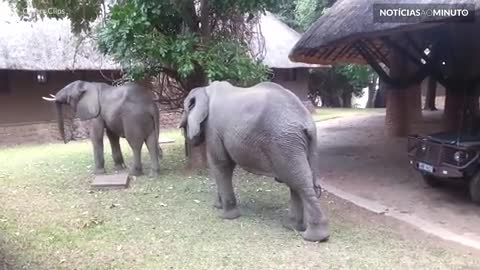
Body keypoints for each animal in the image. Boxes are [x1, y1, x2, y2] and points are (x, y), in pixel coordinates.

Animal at [179, 80, 330, 243]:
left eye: (185, 109)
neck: (206, 90)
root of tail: (307, 122)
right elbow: (226, 166)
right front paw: (218, 206)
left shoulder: (213, 129)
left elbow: (221, 164)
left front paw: (226, 216)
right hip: (298, 145)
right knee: (297, 181)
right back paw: (292, 227)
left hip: (284, 142)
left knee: (298, 181)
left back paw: (314, 237)